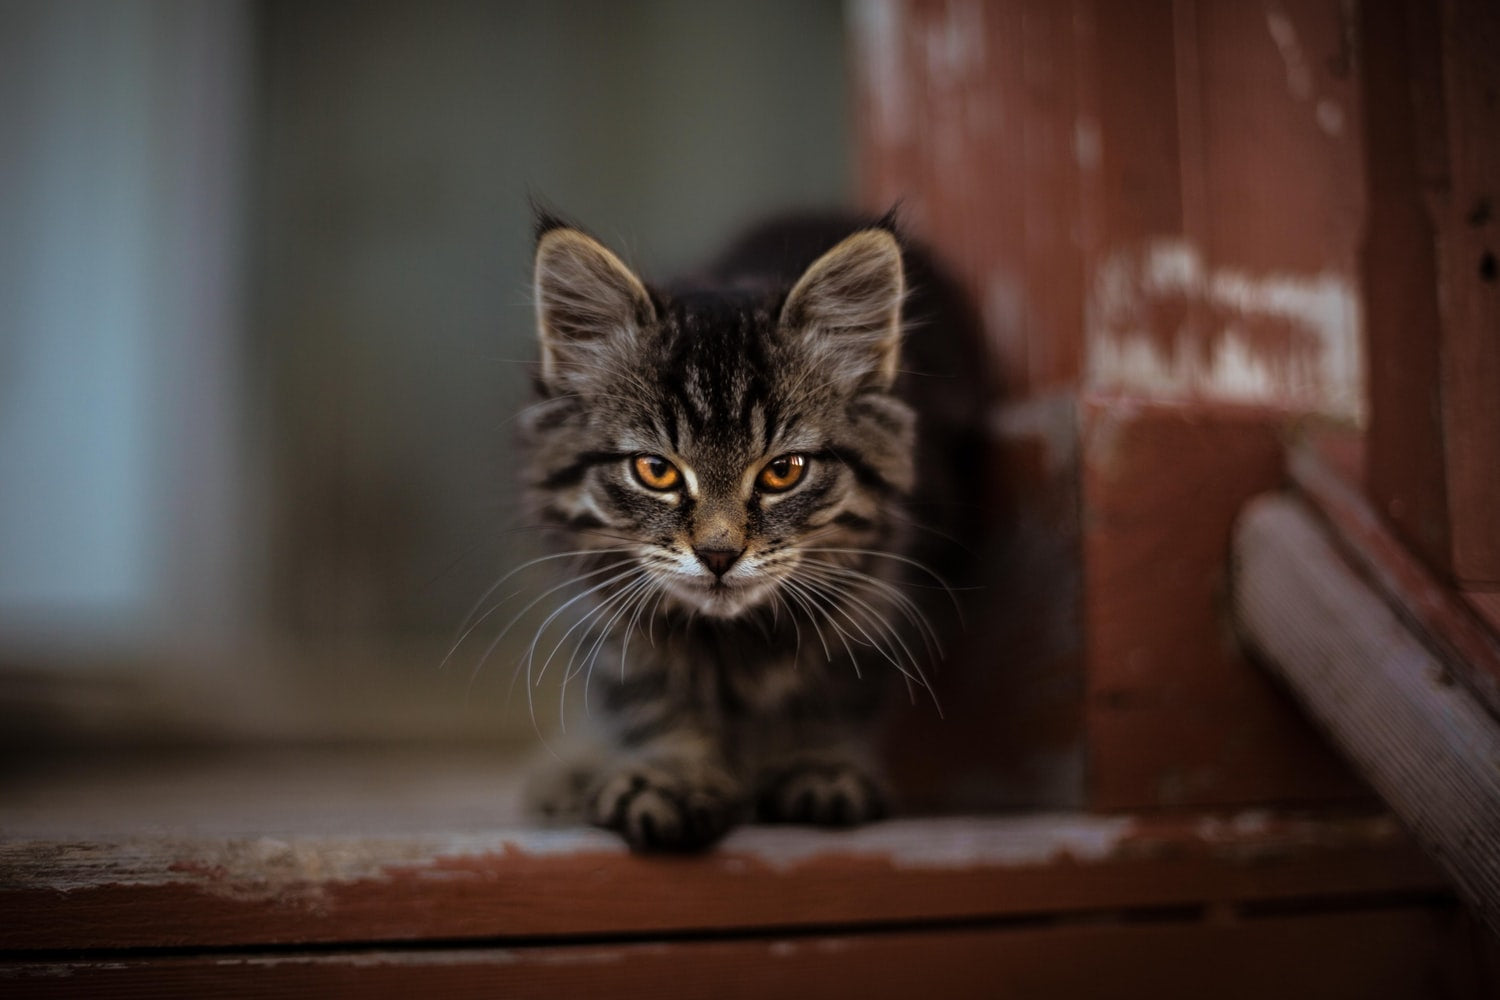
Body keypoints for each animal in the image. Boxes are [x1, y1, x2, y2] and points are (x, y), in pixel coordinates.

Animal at [516, 211, 984, 851]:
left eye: (784, 471)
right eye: (656, 470)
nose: (718, 554)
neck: (733, 640)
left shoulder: (884, 590)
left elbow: (836, 684)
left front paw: (814, 763)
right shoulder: (608, 602)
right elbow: (649, 690)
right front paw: (674, 774)